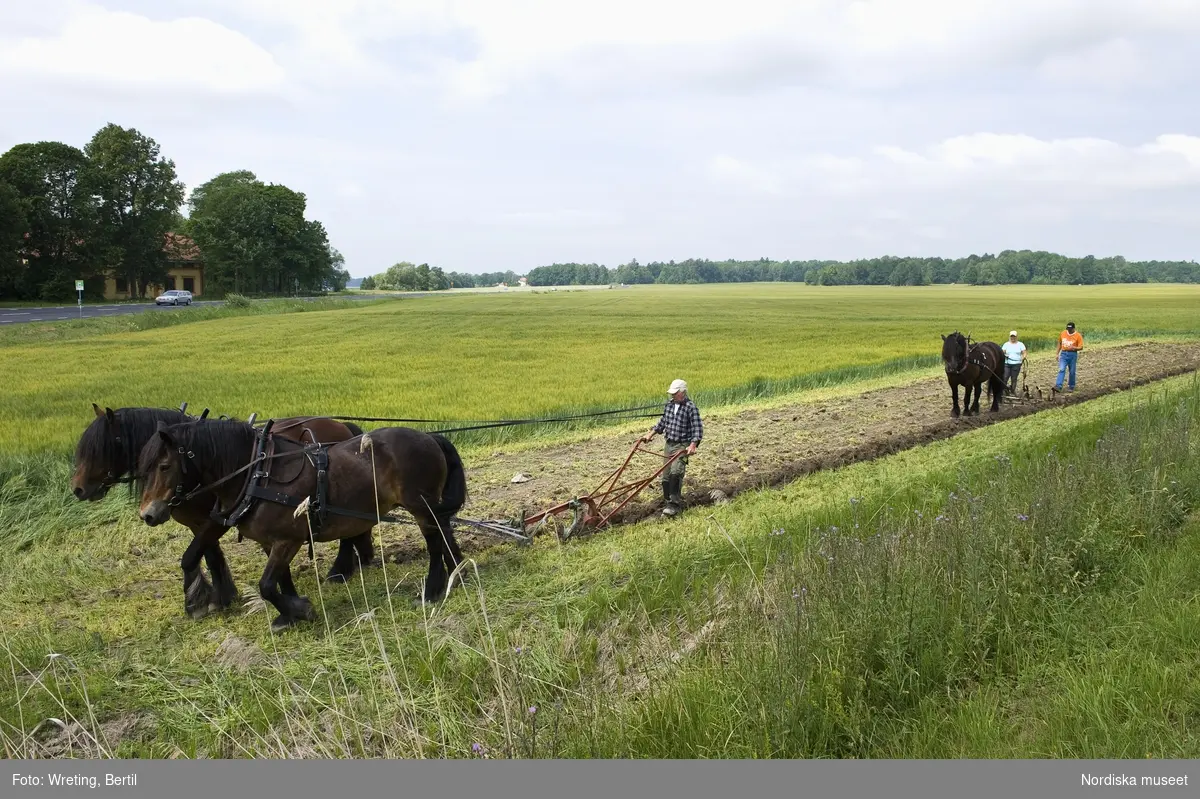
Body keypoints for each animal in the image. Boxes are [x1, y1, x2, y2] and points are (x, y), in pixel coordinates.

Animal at [72, 405, 372, 614]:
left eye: (101, 447)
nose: (77, 489)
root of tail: (342, 425)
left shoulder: (214, 520)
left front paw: (203, 601)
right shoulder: (203, 522)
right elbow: (204, 556)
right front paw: (218, 597)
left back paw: (339, 570)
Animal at [135, 417, 463, 628]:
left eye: (164, 466)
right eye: (145, 467)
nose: (148, 514)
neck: (257, 474)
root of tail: (429, 437)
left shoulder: (288, 539)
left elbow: (267, 585)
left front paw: (300, 610)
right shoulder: (266, 539)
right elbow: (279, 578)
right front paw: (287, 613)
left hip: (421, 508)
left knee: (435, 543)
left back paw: (432, 590)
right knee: (444, 533)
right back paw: (456, 573)